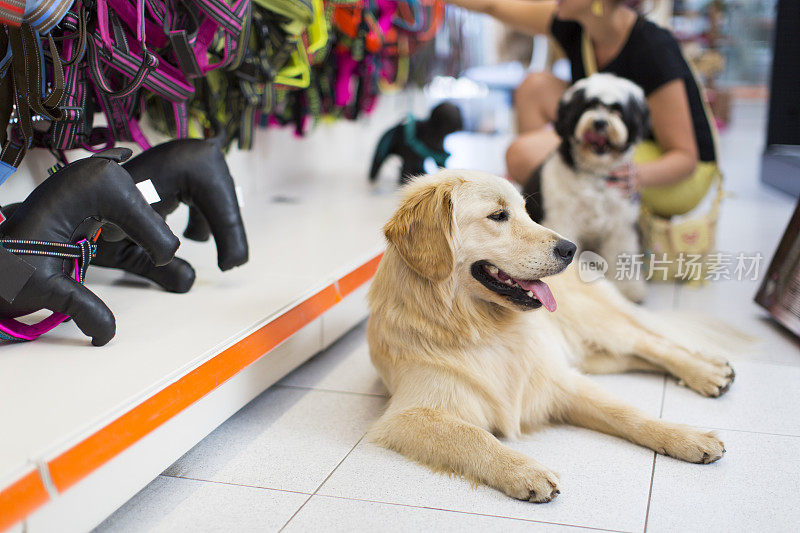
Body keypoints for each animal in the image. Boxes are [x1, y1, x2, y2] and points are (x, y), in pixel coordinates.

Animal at [524, 72, 648, 302]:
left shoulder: (622, 222)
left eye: (617, 110)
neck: (595, 175)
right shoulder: (562, 220)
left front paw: (628, 289)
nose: (599, 122)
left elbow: (622, 253)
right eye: (588, 106)